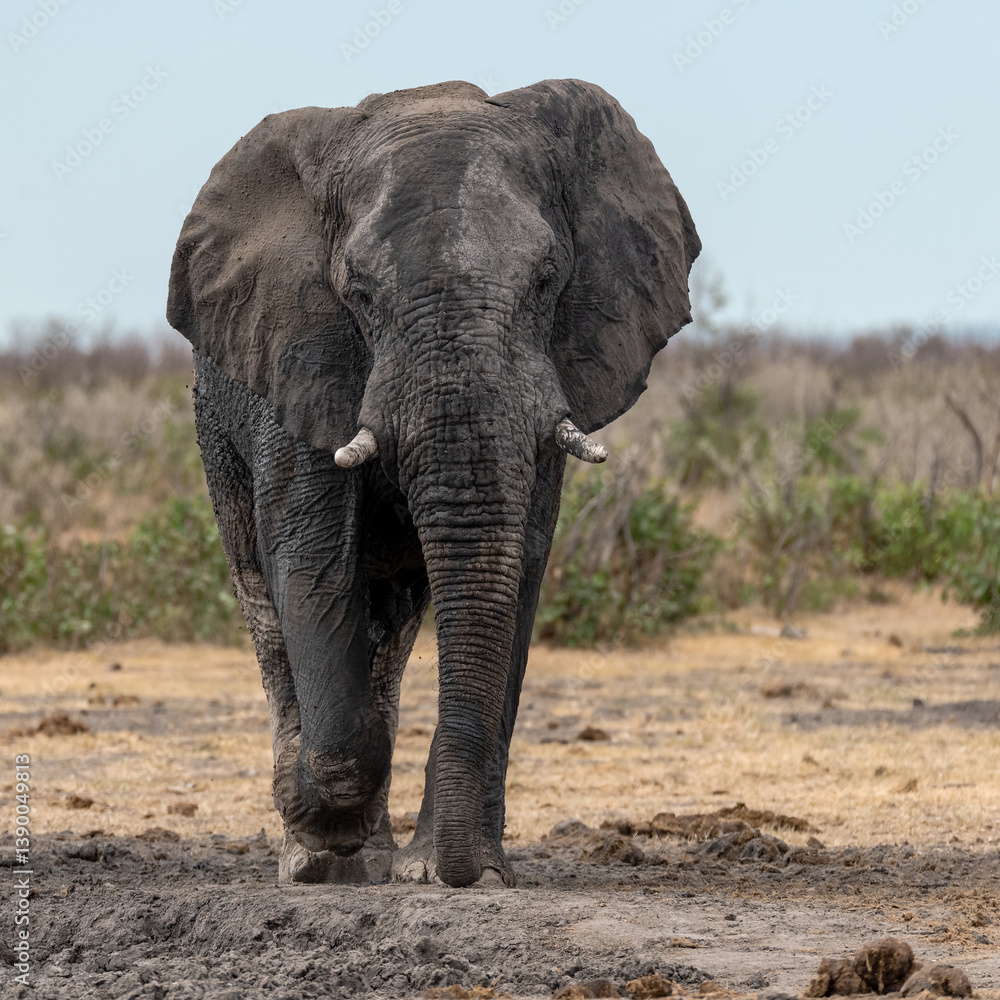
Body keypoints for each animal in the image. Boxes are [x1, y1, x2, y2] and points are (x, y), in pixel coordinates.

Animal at [166, 79, 699, 888]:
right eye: (357, 291)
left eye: (548, 279)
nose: (455, 872)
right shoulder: (299, 357)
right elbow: (312, 563)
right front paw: (320, 829)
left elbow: (517, 572)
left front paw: (463, 873)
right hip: (216, 434)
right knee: (268, 604)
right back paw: (316, 852)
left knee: (389, 624)